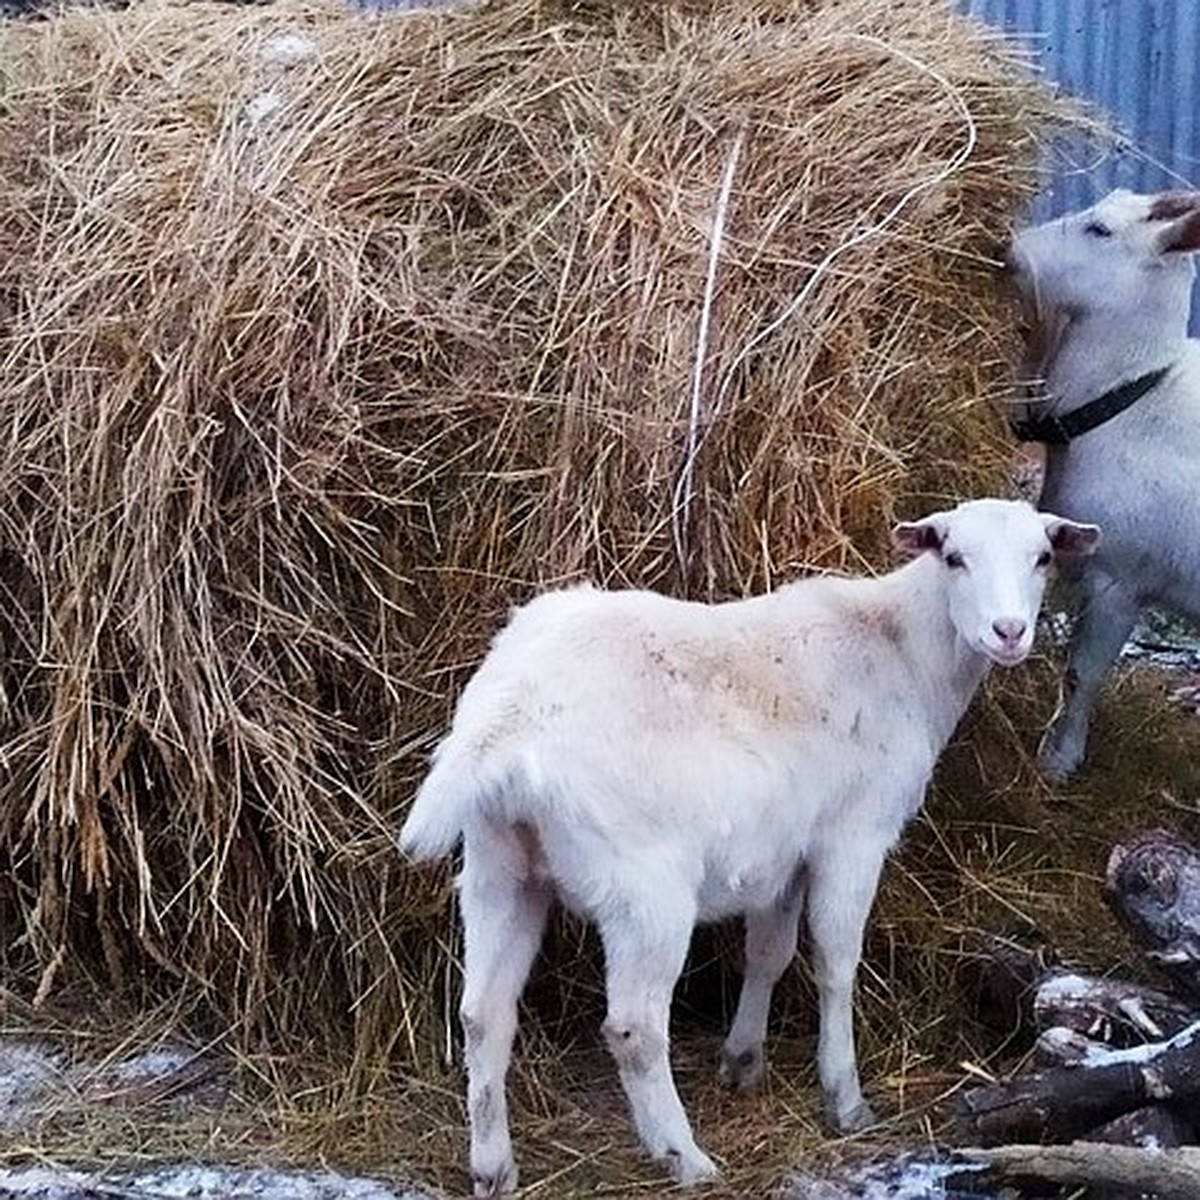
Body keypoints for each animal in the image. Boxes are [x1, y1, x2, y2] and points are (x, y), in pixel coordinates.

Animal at [400, 496, 1099, 1190]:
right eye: (954, 557)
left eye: (1043, 557)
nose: (1009, 632)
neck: (901, 651)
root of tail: (508, 719)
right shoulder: (852, 838)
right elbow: (835, 964)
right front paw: (845, 1097)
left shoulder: (782, 857)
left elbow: (770, 954)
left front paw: (743, 1060)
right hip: (643, 890)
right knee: (633, 1029)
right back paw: (685, 1157)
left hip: (499, 865)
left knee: (483, 1013)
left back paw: (493, 1167)